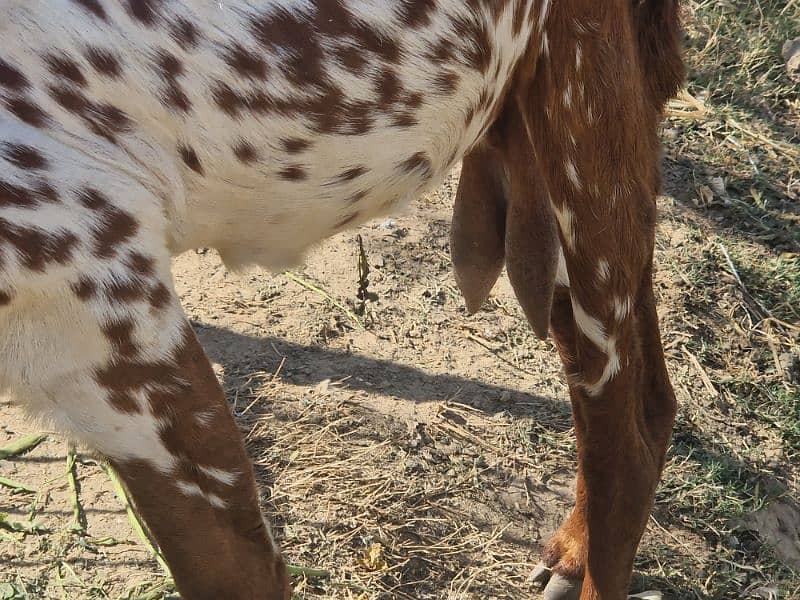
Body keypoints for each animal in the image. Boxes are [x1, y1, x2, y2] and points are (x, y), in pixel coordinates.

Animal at [1, 0, 680, 596]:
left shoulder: (108, 309)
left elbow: (239, 572)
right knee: (638, 397)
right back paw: (570, 552)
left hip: (584, 117)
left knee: (627, 440)